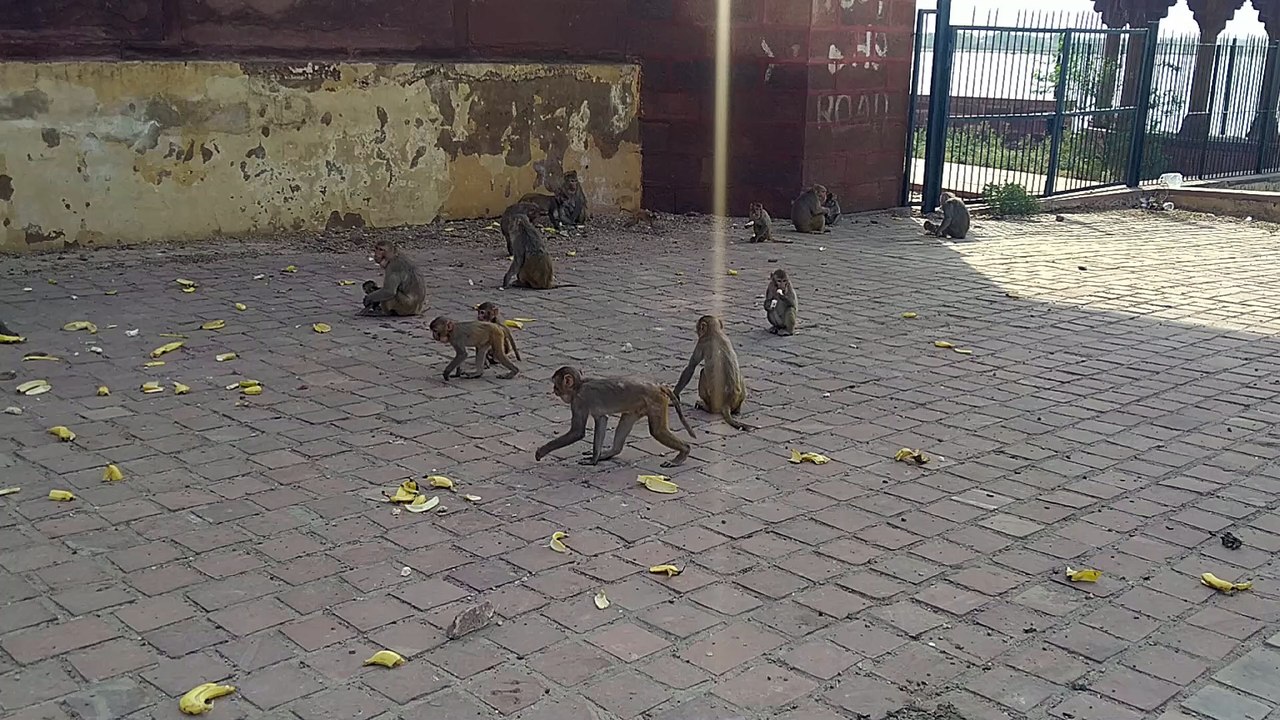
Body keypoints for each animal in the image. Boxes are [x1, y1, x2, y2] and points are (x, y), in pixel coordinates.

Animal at [535, 366, 695, 468]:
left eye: (556, 385)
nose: (554, 390)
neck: (579, 385)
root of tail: (658, 386)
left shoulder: (579, 401)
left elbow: (577, 432)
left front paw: (542, 451)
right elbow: (601, 420)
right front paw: (596, 457)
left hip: (656, 402)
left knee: (657, 431)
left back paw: (684, 452)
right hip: (639, 408)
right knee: (626, 420)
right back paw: (612, 452)